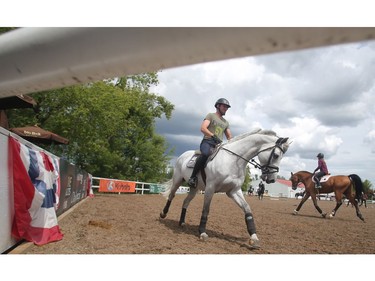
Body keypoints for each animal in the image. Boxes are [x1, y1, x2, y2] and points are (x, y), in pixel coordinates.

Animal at [160, 128, 292, 248]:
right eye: (276, 155)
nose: (272, 179)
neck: (233, 160)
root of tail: (183, 155)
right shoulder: (210, 188)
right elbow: (206, 210)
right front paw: (202, 232)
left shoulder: (234, 191)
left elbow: (247, 209)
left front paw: (254, 238)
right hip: (177, 180)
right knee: (171, 195)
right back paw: (163, 214)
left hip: (194, 188)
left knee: (186, 201)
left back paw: (182, 222)